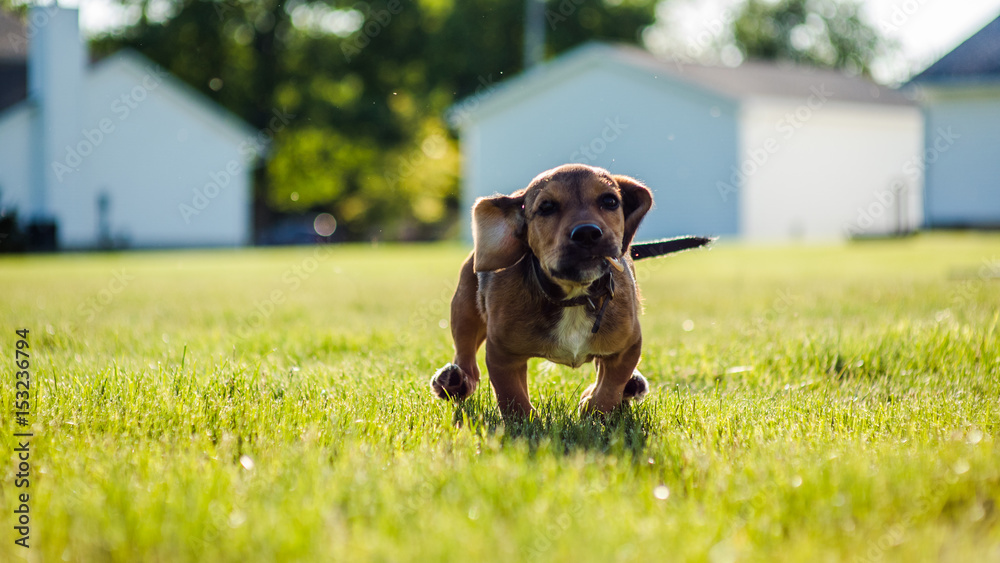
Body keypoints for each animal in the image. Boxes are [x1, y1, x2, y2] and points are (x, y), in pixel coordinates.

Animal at [432, 163, 656, 418]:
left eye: (610, 201)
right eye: (546, 207)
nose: (587, 233)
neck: (574, 297)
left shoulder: (629, 346)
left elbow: (610, 387)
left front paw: (595, 412)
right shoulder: (503, 352)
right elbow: (511, 394)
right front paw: (523, 421)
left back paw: (631, 385)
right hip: (464, 309)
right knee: (466, 355)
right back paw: (454, 381)